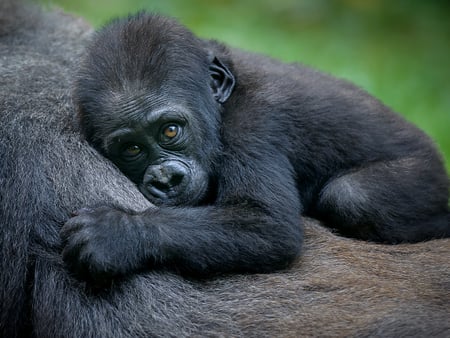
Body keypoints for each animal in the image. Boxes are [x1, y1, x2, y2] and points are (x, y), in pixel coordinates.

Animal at [60, 12, 450, 280]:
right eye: (132, 150)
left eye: (170, 131)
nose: (166, 179)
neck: (222, 100)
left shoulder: (254, 124)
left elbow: (269, 225)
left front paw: (120, 233)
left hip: (427, 177)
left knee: (353, 197)